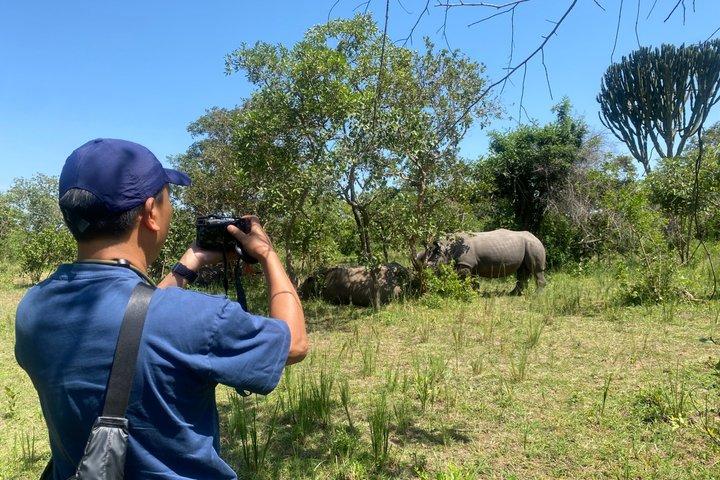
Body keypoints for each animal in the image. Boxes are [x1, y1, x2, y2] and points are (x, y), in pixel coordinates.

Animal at [419, 229, 547, 295]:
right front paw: (475, 293)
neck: (446, 248)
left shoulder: (465, 264)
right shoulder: (472, 266)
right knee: (522, 271)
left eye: (434, 263)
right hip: (527, 245)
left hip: (533, 245)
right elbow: (473, 280)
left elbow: (464, 279)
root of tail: (536, 237)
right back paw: (513, 294)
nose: (426, 271)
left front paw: (464, 292)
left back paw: (537, 296)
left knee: (536, 270)